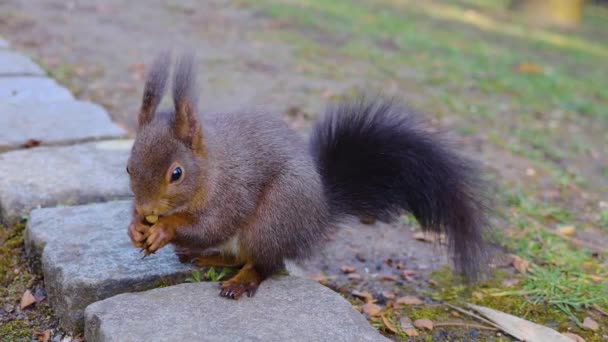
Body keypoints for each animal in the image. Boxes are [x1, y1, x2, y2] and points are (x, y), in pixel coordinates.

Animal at [127, 52, 490, 300]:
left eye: (176, 173)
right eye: (128, 167)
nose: (147, 211)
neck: (211, 169)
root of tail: (316, 218)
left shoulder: (232, 192)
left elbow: (210, 225)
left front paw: (163, 229)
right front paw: (135, 226)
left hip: (273, 218)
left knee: (264, 263)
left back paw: (240, 281)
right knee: (238, 256)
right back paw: (202, 255)